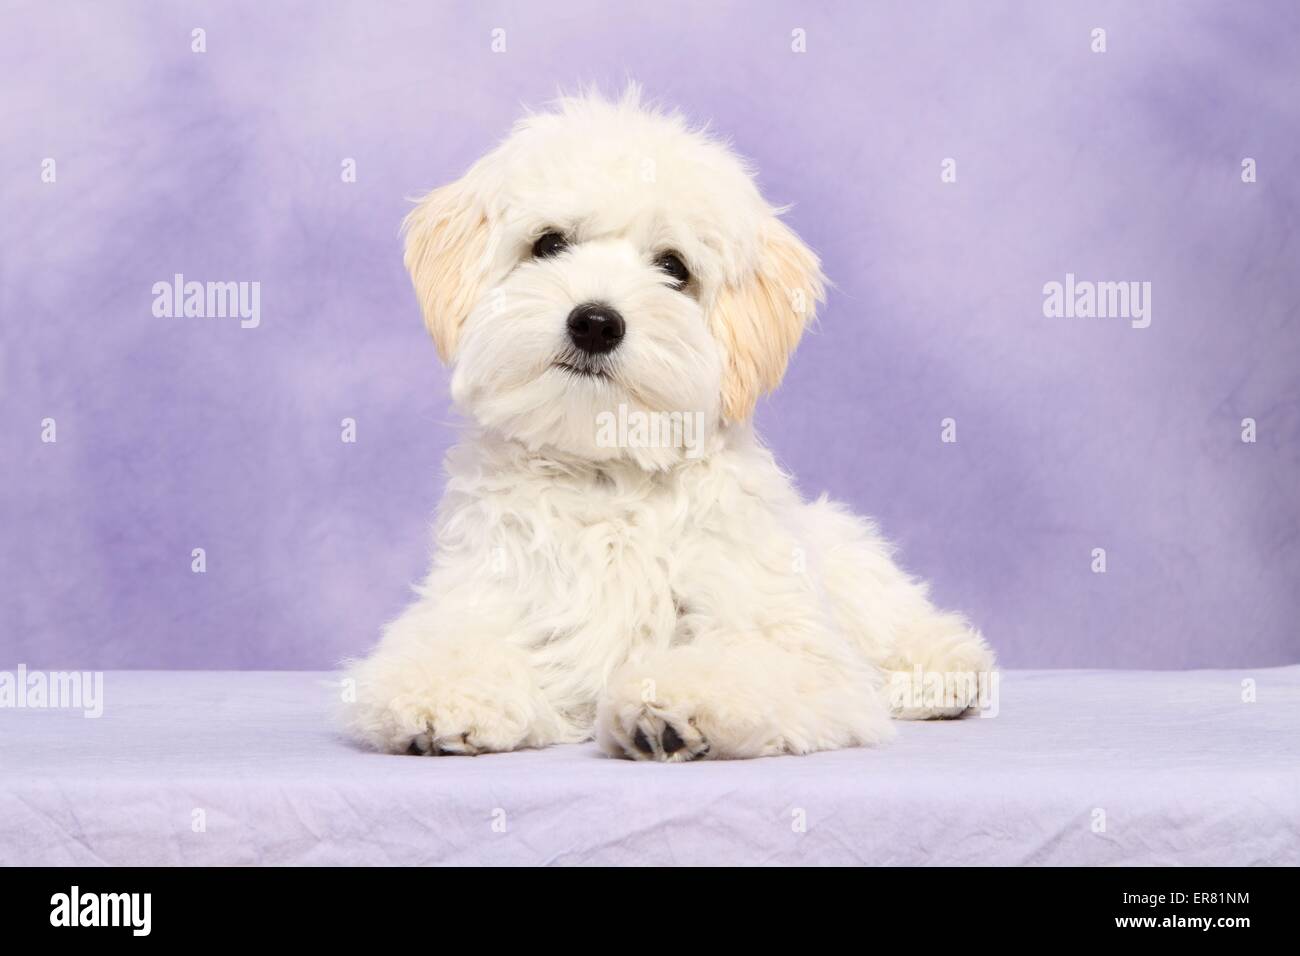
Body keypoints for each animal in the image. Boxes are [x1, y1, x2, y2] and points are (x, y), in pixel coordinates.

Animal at [345, 89, 993, 764]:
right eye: (548, 244)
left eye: (674, 268)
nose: (596, 322)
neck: (605, 474)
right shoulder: (486, 599)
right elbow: (453, 647)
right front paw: (442, 696)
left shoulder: (792, 642)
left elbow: (746, 662)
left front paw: (679, 705)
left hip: (851, 561)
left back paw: (943, 667)